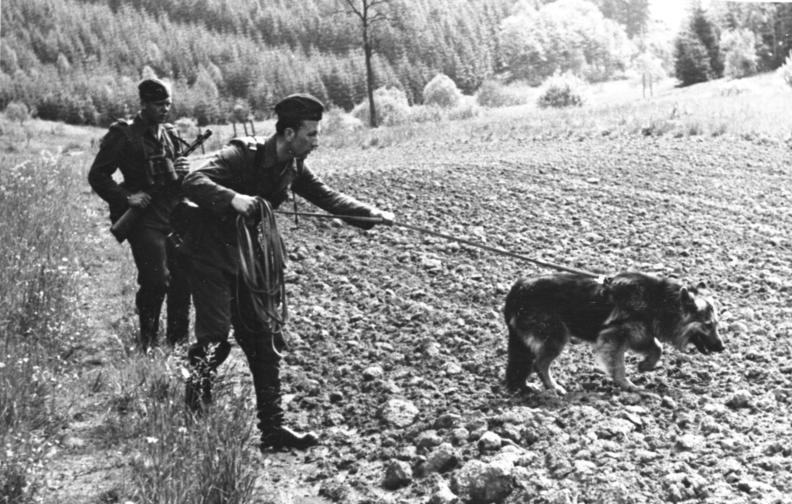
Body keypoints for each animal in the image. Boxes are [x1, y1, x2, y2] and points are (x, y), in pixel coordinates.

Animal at [508, 272, 724, 394]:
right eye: (707, 325)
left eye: (716, 324)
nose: (722, 347)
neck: (660, 301)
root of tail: (519, 288)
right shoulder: (614, 337)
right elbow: (619, 366)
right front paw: (627, 385)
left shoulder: (640, 333)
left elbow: (657, 347)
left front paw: (645, 366)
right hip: (556, 337)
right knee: (539, 364)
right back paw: (552, 387)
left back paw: (525, 387)